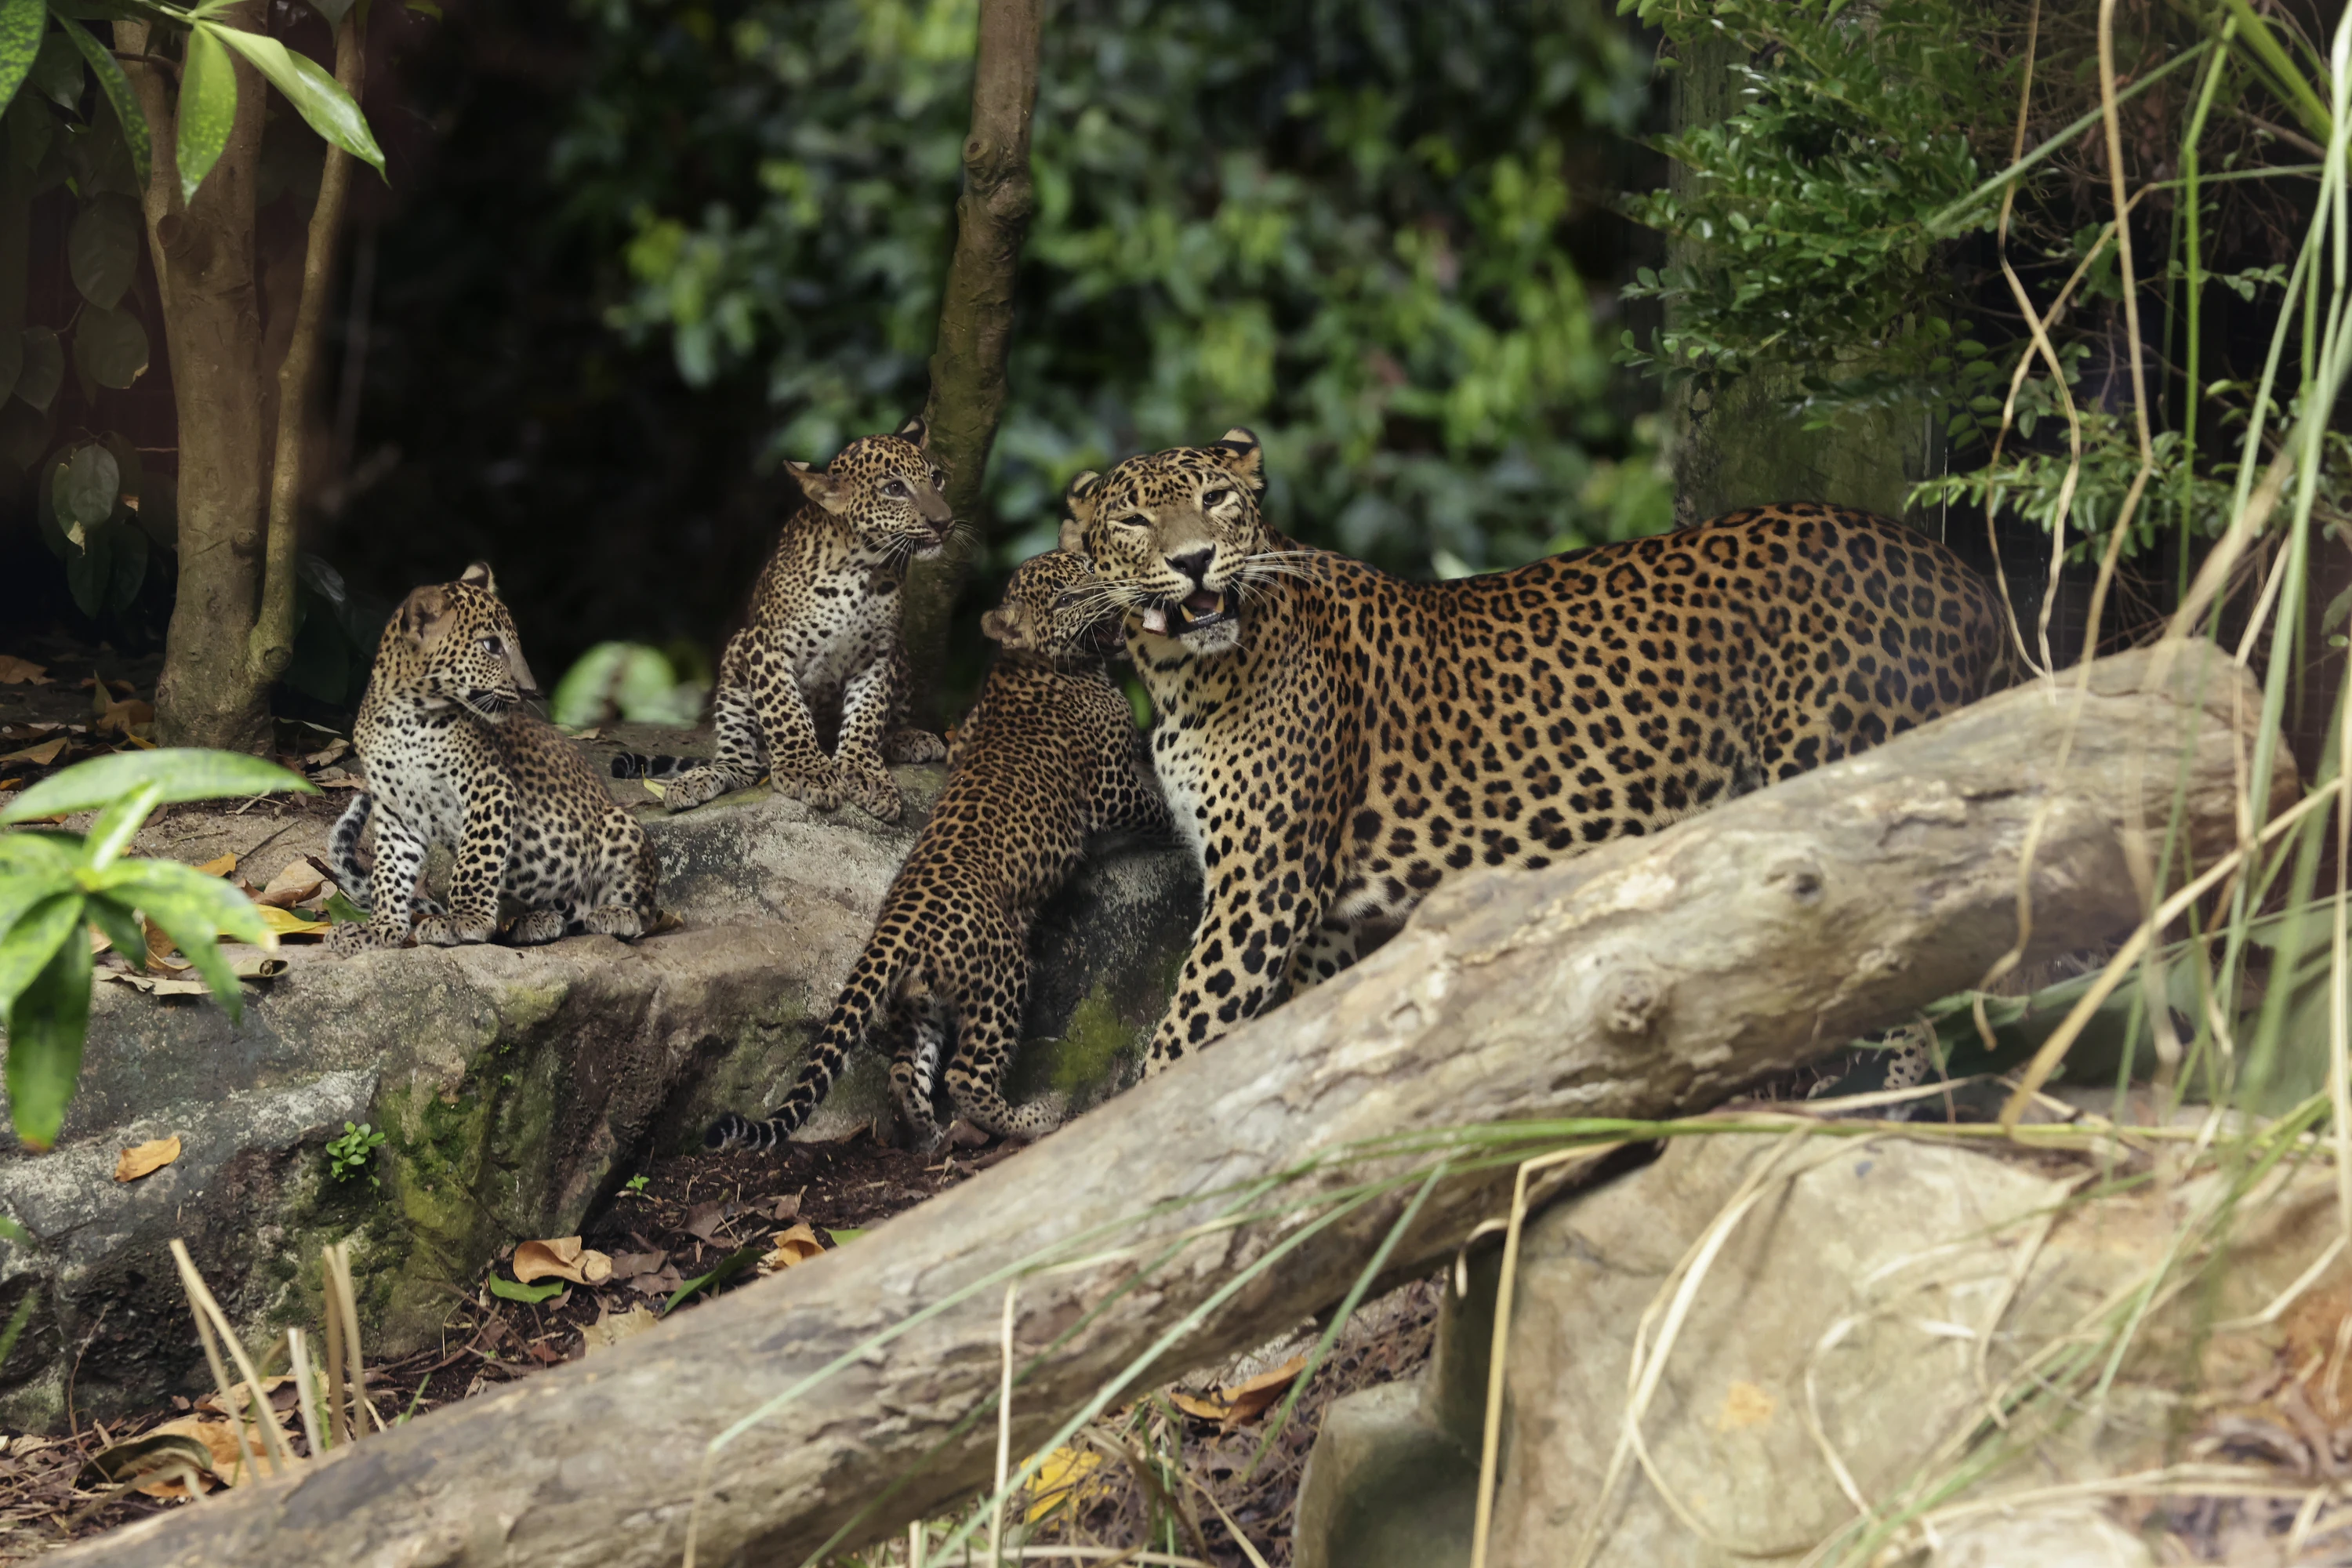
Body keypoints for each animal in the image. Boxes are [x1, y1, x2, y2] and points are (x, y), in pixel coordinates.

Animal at [327, 563, 658, 953]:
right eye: (491, 646)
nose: (530, 690)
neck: (406, 715)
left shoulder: (489, 787)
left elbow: (475, 861)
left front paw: (463, 920)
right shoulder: (398, 811)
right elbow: (389, 874)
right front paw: (379, 929)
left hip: (619, 825)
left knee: (645, 907)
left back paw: (616, 913)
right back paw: (537, 921)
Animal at [613, 417, 954, 824]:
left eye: (936, 478)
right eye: (894, 489)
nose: (945, 523)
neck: (864, 568)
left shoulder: (879, 653)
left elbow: (868, 716)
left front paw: (864, 772)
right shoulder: (767, 647)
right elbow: (786, 712)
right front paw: (808, 772)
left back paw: (909, 738)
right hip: (735, 658)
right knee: (741, 765)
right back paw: (698, 780)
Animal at [705, 549, 1175, 1153]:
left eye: (1089, 567)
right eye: (1069, 597)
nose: (1113, 588)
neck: (1032, 664)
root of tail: (897, 923)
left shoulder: (962, 738)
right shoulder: (1110, 787)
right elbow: (1154, 807)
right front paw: (1183, 824)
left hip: (919, 1001)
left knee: (906, 1072)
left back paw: (929, 1134)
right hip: (1002, 973)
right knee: (966, 1075)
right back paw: (1030, 1120)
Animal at [1060, 427, 2012, 1074]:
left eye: (1218, 500)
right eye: (1135, 518)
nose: (1195, 560)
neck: (1184, 677)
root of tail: (1962, 577)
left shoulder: (1262, 890)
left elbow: (1182, 1044)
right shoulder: (1319, 918)